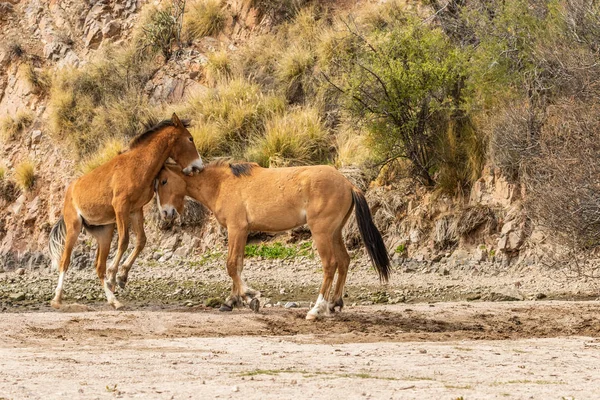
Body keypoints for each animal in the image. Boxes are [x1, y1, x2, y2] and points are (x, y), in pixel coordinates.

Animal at [48, 113, 203, 310]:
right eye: (190, 138)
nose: (199, 166)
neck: (138, 164)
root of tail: (71, 189)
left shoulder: (135, 210)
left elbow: (141, 241)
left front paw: (121, 277)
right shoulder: (121, 207)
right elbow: (124, 241)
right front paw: (115, 276)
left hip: (104, 233)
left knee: (99, 266)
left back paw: (113, 300)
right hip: (74, 228)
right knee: (65, 261)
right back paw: (57, 298)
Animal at [155, 161, 390, 320]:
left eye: (164, 180)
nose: (165, 213)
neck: (221, 184)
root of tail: (348, 184)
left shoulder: (236, 229)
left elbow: (231, 265)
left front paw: (250, 298)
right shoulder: (241, 232)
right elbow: (238, 265)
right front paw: (231, 301)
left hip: (322, 232)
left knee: (330, 265)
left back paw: (316, 310)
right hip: (335, 233)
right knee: (344, 261)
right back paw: (334, 304)